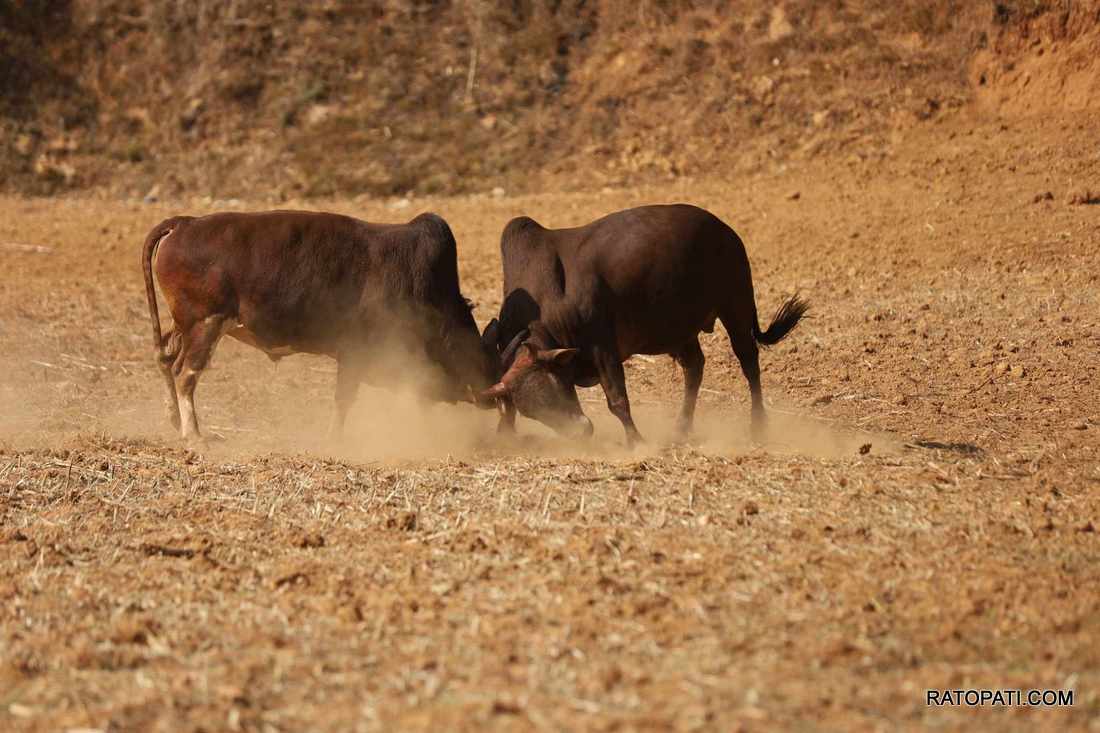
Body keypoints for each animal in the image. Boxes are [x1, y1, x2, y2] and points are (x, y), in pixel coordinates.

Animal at [141, 210, 495, 440]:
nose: (488, 394)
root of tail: (184, 224)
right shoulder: (356, 354)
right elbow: (343, 399)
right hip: (206, 324)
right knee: (185, 374)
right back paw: (194, 435)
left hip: (185, 325)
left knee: (167, 359)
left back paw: (174, 419)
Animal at [481, 201, 809, 444]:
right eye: (533, 411)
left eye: (554, 386)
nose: (581, 431)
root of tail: (724, 230)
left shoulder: (603, 348)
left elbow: (617, 400)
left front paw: (636, 440)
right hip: (681, 332)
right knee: (695, 368)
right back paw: (681, 428)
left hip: (736, 307)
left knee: (749, 362)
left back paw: (758, 426)